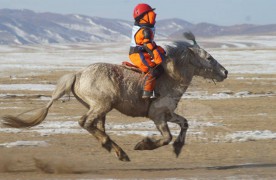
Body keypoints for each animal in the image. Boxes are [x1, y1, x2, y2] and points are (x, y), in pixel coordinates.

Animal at [1, 32, 227, 162]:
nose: (225, 72)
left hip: (100, 108)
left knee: (97, 127)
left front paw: (178, 149)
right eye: (208, 57)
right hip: (101, 105)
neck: (170, 77)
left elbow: (185, 124)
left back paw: (117, 151)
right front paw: (143, 145)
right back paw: (117, 150)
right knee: (85, 122)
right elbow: (166, 137)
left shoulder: (168, 114)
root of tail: (78, 74)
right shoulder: (157, 116)